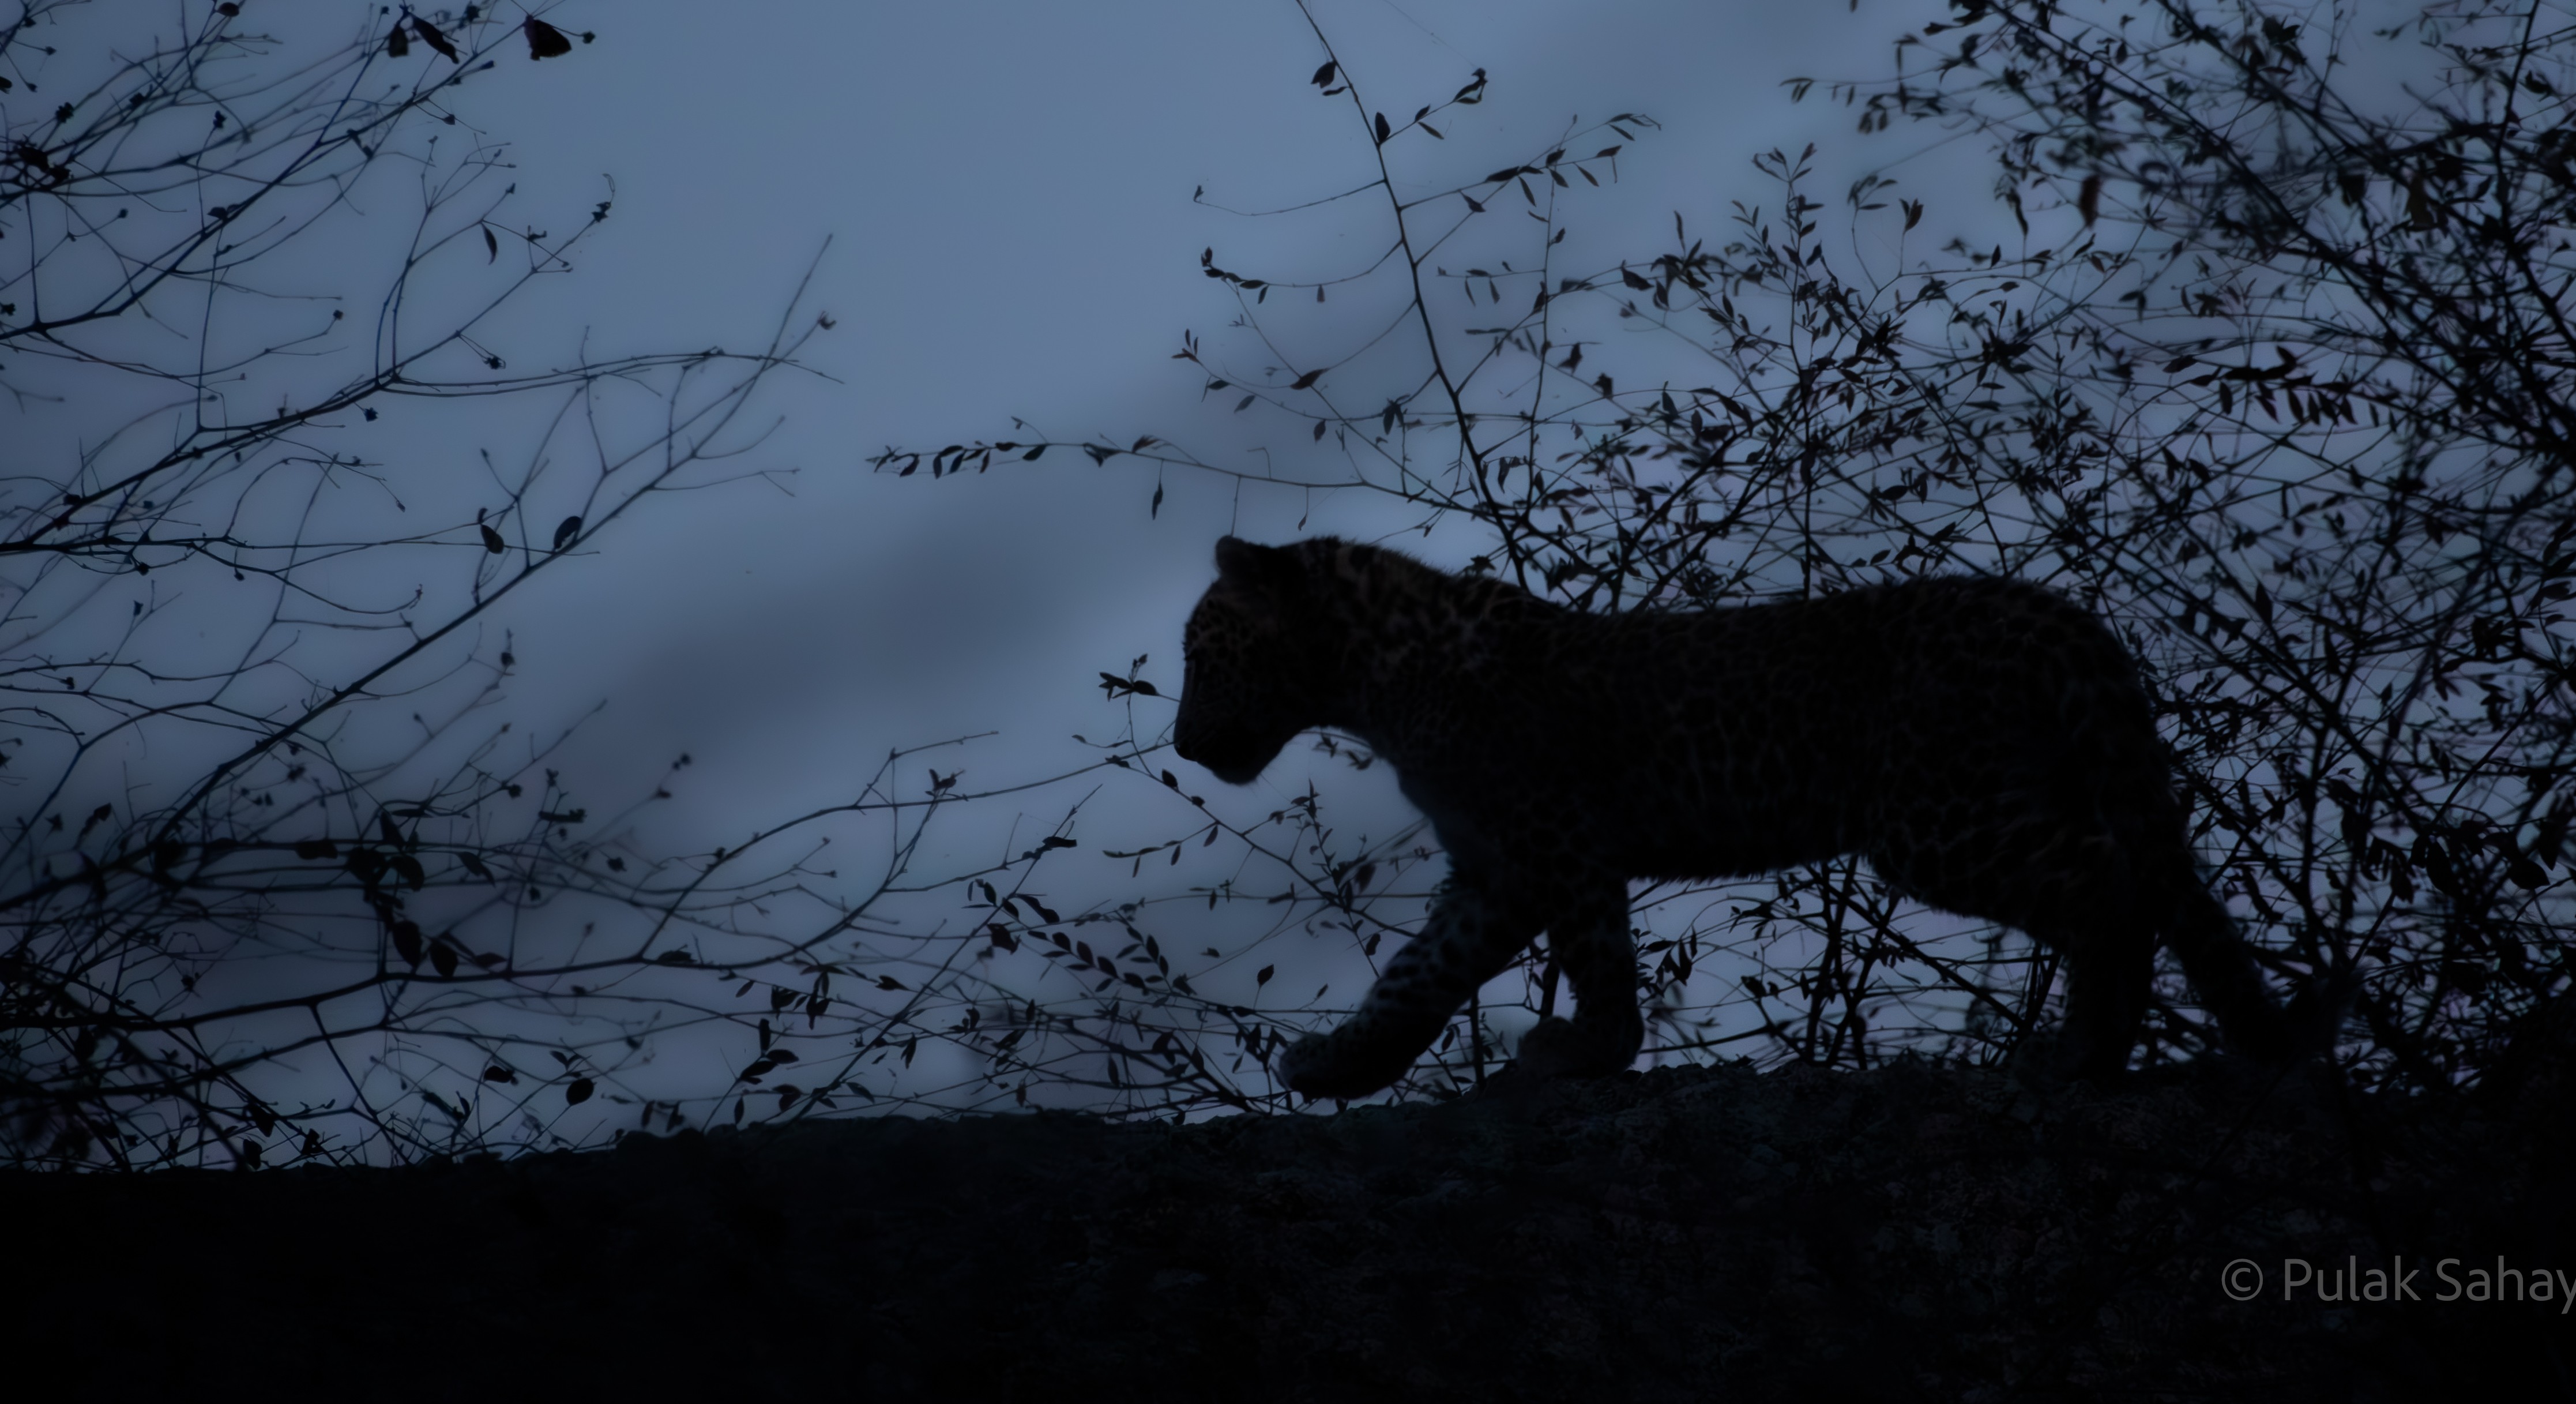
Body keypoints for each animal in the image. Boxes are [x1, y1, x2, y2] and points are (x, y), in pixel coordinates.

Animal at [1172, 534, 2331, 1100]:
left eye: (1198, 654)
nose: (1181, 743)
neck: (1370, 678)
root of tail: (2054, 612)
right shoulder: (1493, 867)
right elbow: (1415, 976)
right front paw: (1339, 1067)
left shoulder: (1557, 834)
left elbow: (1596, 954)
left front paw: (1585, 1053)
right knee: (2152, 879)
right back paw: (2117, 1048)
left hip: (1934, 814)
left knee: (2104, 877)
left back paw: (2078, 1054)